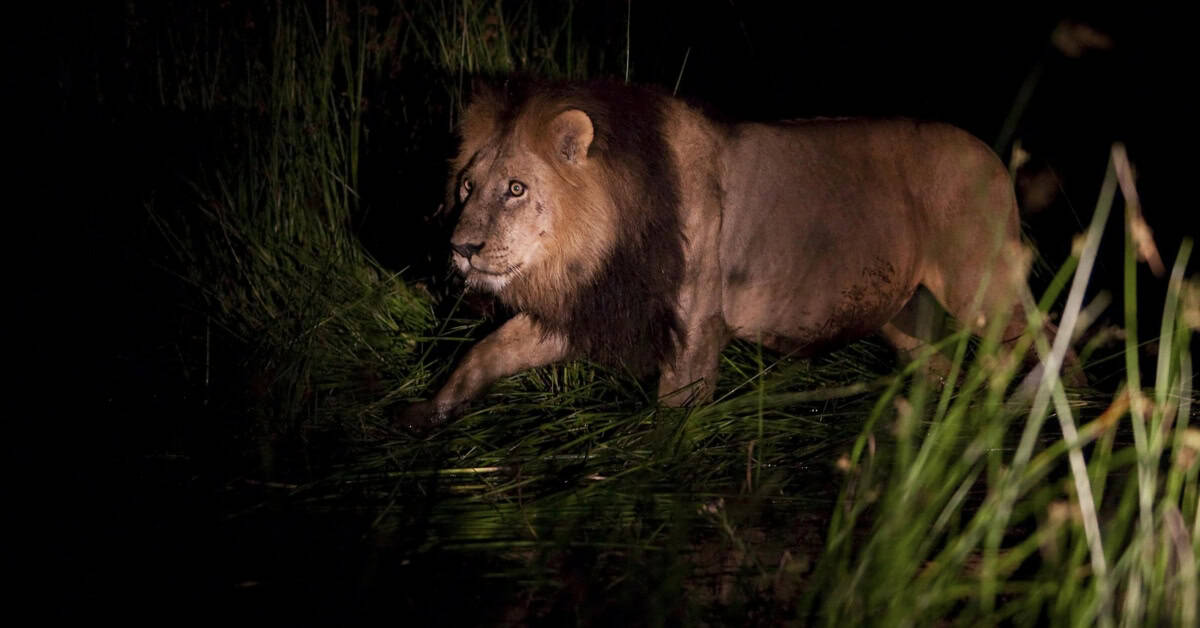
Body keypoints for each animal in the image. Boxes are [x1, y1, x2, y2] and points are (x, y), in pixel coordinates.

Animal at [399, 79, 1076, 432]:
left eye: (516, 189)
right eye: (467, 188)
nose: (460, 248)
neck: (597, 244)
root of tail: (994, 157)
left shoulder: (696, 324)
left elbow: (675, 414)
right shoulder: (594, 305)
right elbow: (488, 351)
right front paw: (427, 412)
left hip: (979, 283)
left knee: (1041, 332)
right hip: (907, 314)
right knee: (940, 363)